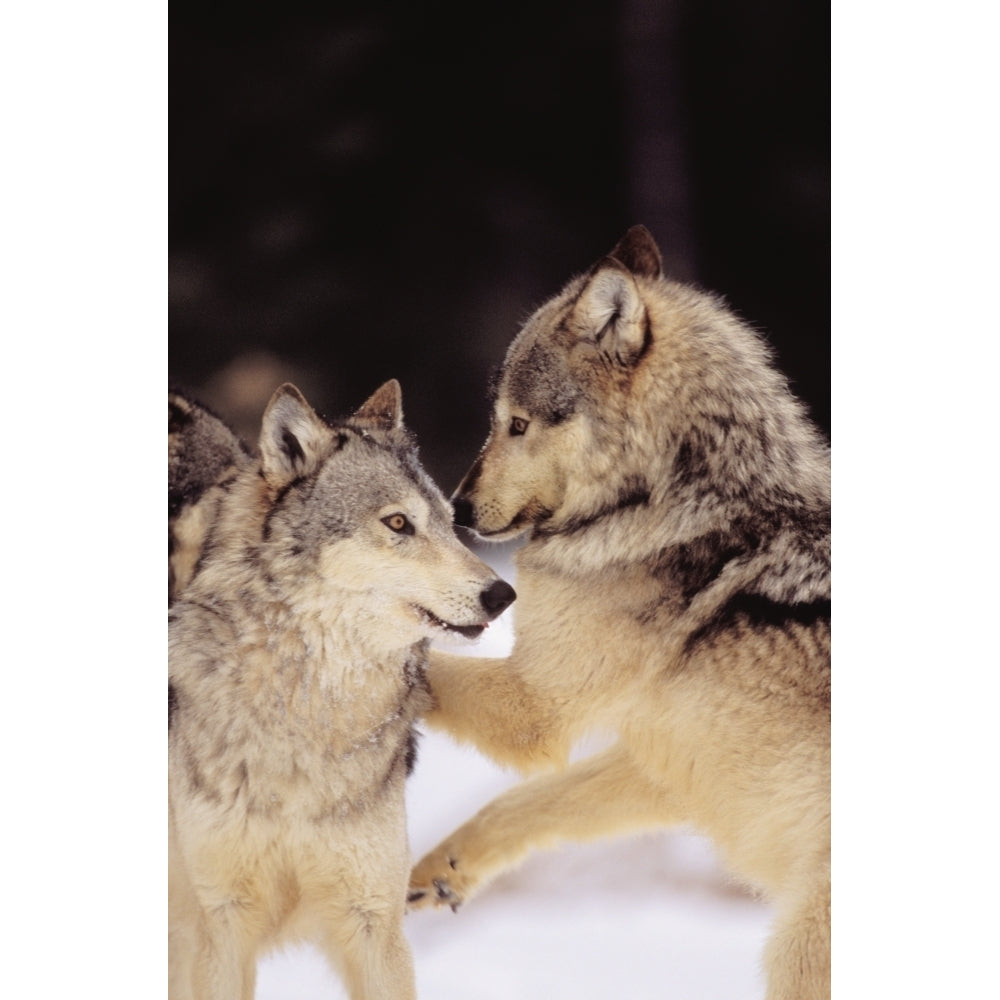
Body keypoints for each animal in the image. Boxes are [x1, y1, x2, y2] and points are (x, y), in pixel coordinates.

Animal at [404, 227, 828, 1000]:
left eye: (516, 423)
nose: (459, 510)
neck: (661, 502)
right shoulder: (662, 757)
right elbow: (522, 805)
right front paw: (442, 869)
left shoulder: (534, 706)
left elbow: (419, 661)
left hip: (797, 954)